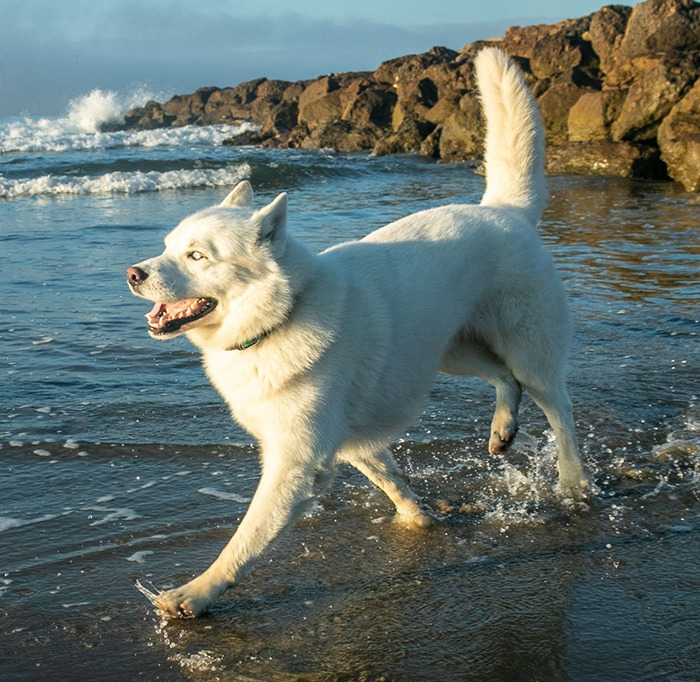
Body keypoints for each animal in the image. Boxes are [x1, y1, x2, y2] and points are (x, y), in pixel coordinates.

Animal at [127, 49, 592, 616]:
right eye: (168, 247)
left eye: (197, 256)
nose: (133, 274)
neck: (282, 316)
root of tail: (503, 210)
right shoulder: (349, 444)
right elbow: (391, 480)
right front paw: (419, 521)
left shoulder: (297, 463)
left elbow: (245, 539)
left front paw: (195, 593)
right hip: (446, 351)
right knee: (505, 378)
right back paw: (502, 429)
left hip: (528, 349)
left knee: (558, 407)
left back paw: (574, 483)